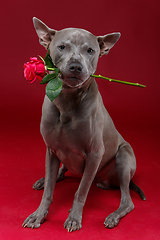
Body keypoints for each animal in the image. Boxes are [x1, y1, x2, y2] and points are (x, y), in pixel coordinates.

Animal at [22, 17, 146, 232]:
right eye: (62, 47)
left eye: (90, 50)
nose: (76, 66)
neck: (67, 101)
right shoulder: (51, 149)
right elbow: (49, 191)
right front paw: (38, 215)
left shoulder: (95, 153)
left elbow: (80, 191)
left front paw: (74, 217)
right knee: (58, 173)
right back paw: (45, 179)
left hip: (123, 157)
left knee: (127, 200)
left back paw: (113, 216)